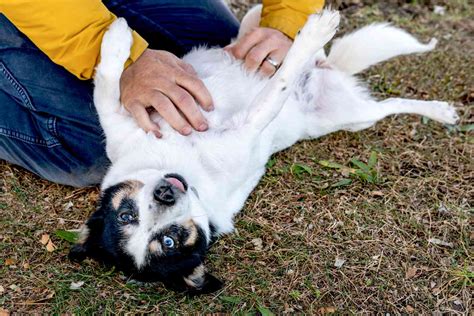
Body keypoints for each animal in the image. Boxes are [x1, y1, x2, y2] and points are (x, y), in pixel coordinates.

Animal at [68, 8, 458, 294]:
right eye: (168, 241)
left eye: (126, 215)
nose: (164, 193)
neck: (183, 162)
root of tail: (331, 74)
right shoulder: (248, 129)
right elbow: (277, 89)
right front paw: (312, 36)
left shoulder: (120, 124)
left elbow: (106, 84)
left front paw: (117, 38)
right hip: (354, 118)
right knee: (386, 105)